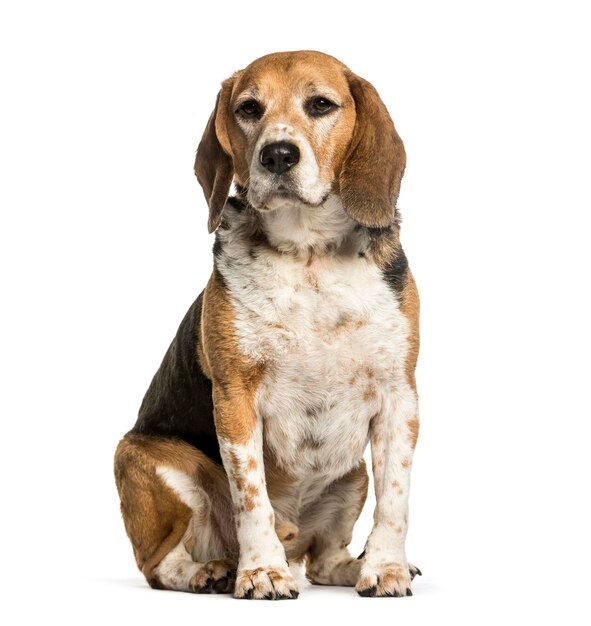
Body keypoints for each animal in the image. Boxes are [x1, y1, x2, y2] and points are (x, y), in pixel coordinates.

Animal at [114, 48, 420, 596]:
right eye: (249, 109)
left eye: (320, 104)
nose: (277, 155)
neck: (309, 253)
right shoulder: (236, 399)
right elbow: (250, 497)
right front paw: (260, 572)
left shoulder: (399, 396)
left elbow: (396, 499)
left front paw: (386, 567)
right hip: (145, 457)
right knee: (158, 563)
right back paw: (211, 572)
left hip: (353, 475)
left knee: (322, 561)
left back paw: (350, 565)